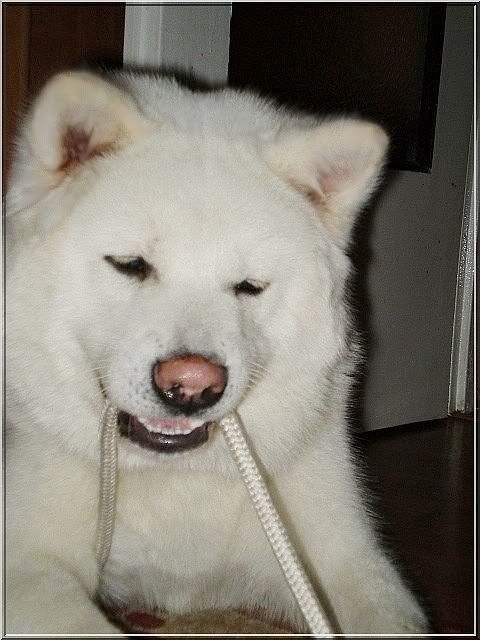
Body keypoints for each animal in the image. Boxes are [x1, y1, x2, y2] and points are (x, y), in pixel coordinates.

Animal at [6, 70, 428, 634]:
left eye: (249, 286)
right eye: (131, 265)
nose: (191, 385)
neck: (177, 477)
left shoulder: (346, 562)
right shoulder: (26, 565)